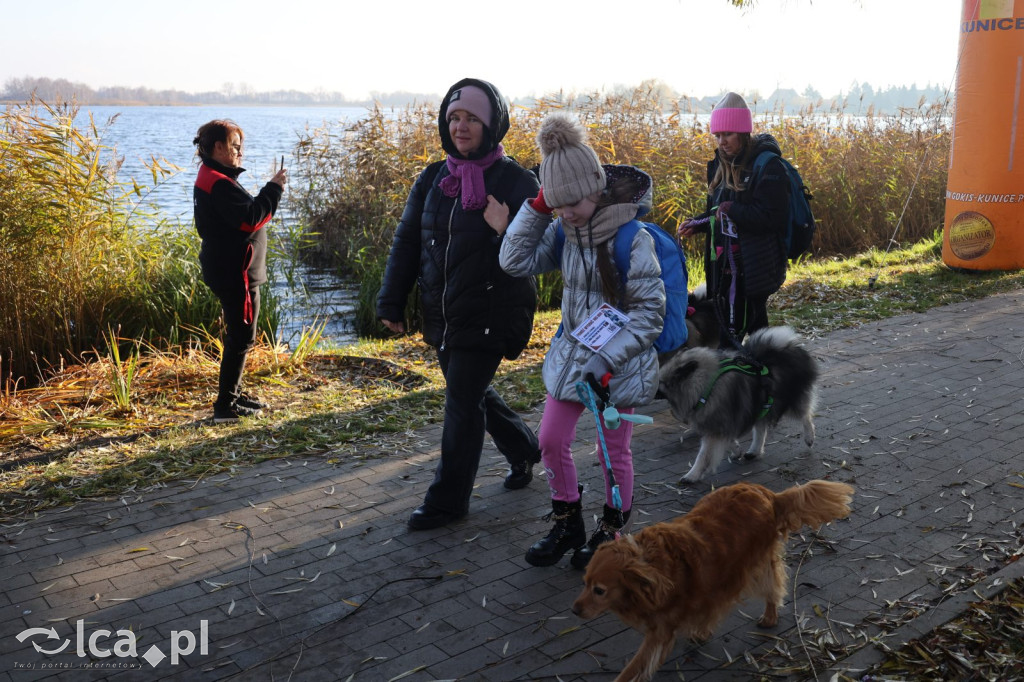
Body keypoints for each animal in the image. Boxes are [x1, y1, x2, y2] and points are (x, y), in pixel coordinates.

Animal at [573, 477, 851, 679]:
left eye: (599, 590)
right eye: (584, 583)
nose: (575, 611)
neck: (651, 565)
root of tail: (766, 494)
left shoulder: (661, 631)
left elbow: (634, 668)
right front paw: (701, 630)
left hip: (757, 564)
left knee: (773, 589)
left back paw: (769, 617)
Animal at [659, 325, 819, 481]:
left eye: (662, 383)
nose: (654, 390)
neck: (706, 386)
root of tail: (789, 346)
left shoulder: (716, 426)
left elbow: (703, 455)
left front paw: (691, 475)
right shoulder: (721, 424)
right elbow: (729, 441)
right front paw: (737, 451)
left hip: (789, 399)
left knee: (805, 415)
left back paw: (809, 438)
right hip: (761, 403)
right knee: (761, 430)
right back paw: (754, 451)